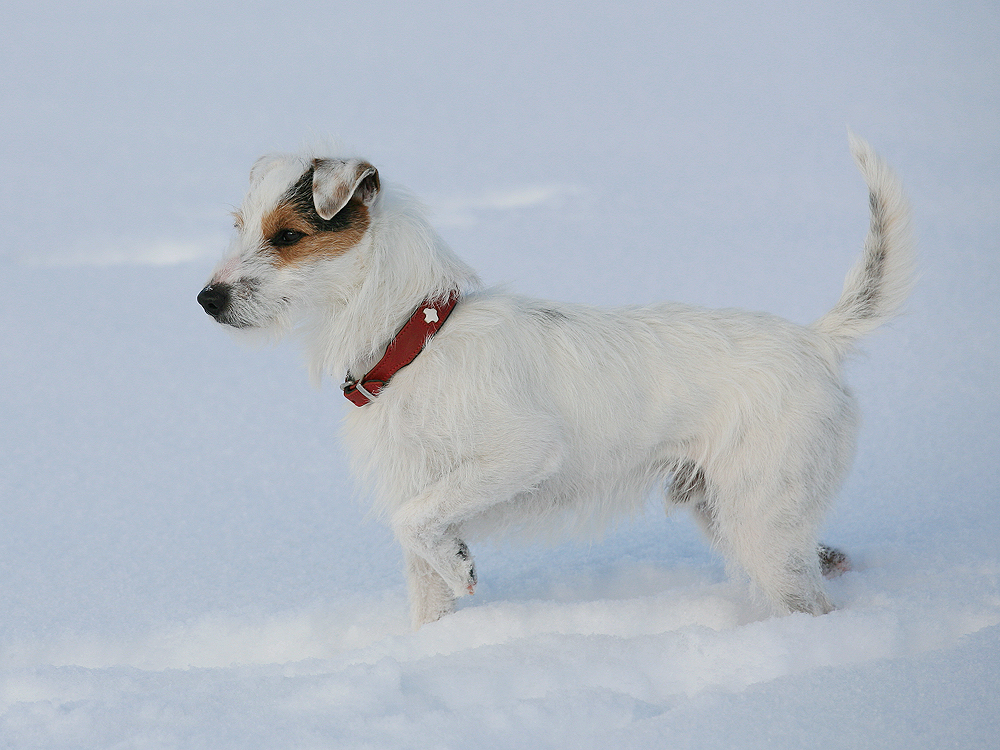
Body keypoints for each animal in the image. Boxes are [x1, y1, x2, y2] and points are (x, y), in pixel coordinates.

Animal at [197, 134, 916, 628]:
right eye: (240, 227)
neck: (414, 338)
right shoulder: (417, 486)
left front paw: (461, 566)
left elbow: (415, 522)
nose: (206, 299)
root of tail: (818, 340)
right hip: (732, 512)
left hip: (760, 521)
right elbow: (423, 569)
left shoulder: (519, 453)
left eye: (287, 236)